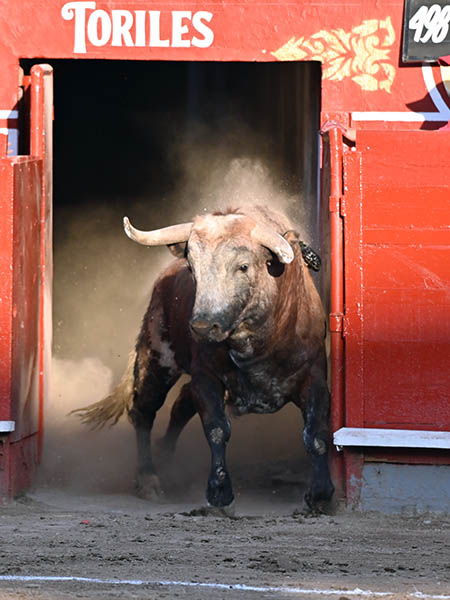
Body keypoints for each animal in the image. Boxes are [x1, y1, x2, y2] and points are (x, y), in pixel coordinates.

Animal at [74, 207, 334, 510]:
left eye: (243, 267)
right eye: (192, 267)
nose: (202, 326)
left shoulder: (314, 377)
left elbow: (315, 434)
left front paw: (321, 493)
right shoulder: (206, 377)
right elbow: (217, 428)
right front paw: (219, 491)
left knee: (180, 403)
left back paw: (165, 458)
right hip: (157, 358)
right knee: (144, 410)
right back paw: (148, 478)